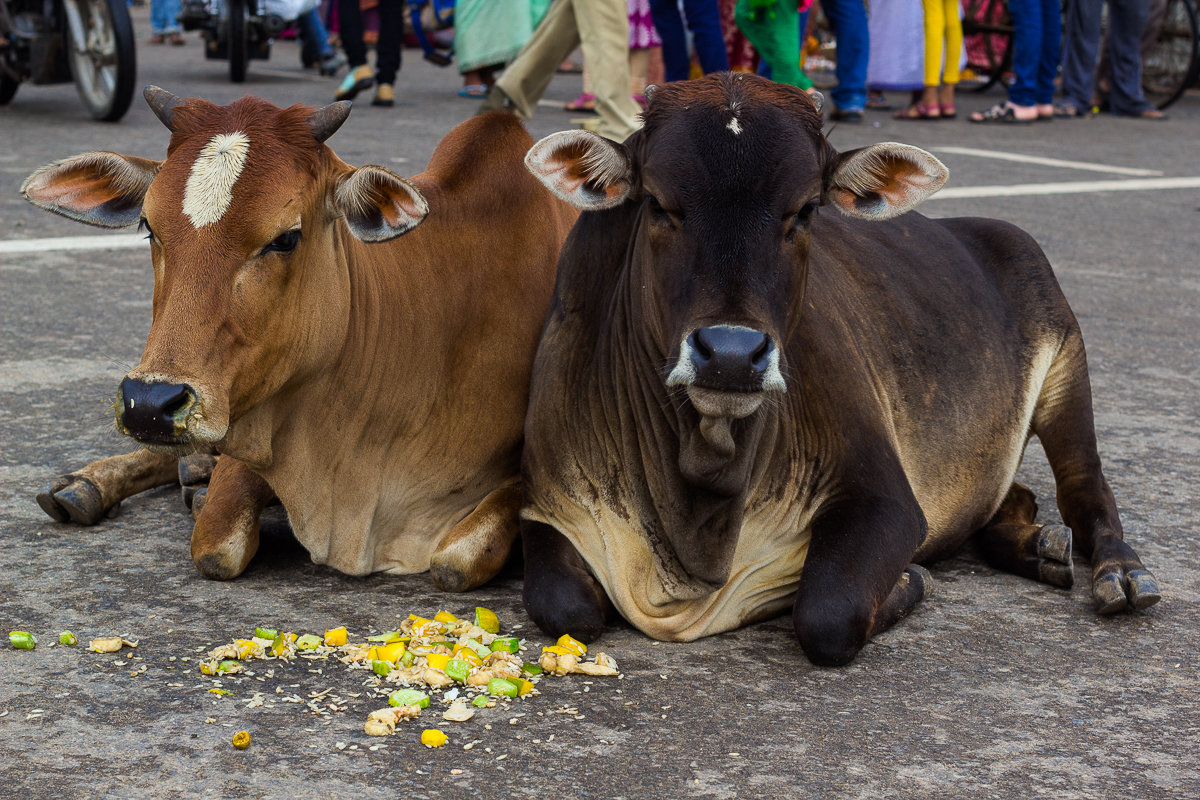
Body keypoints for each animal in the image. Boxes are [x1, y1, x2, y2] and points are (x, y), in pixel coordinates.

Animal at [23, 87, 576, 592]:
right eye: (147, 226)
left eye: (286, 238)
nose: (149, 404)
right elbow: (215, 545)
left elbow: (456, 560)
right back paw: (91, 484)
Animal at [520, 73, 1156, 662]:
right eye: (656, 203)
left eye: (806, 211)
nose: (731, 354)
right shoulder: (548, 504)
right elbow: (567, 607)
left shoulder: (888, 500)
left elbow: (829, 614)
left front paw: (911, 577)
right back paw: (1036, 544)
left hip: (1067, 364)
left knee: (1085, 486)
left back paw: (1120, 573)